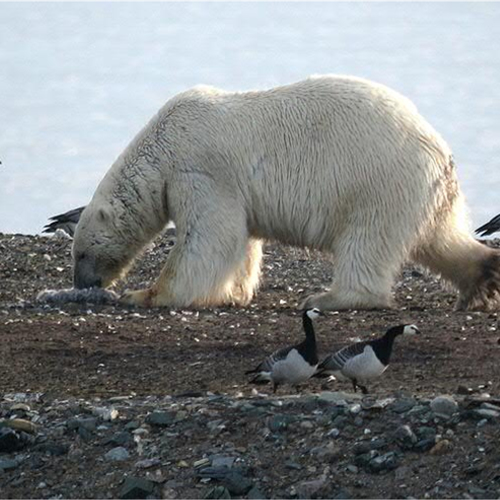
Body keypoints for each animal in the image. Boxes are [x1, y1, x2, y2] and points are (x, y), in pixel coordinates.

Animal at [72, 74, 500, 310]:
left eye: (81, 252)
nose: (81, 283)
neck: (161, 144)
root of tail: (438, 150)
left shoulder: (200, 171)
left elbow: (207, 238)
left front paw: (146, 294)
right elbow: (240, 241)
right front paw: (234, 293)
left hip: (377, 182)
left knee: (367, 242)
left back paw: (331, 298)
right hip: (426, 191)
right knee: (439, 237)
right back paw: (483, 276)